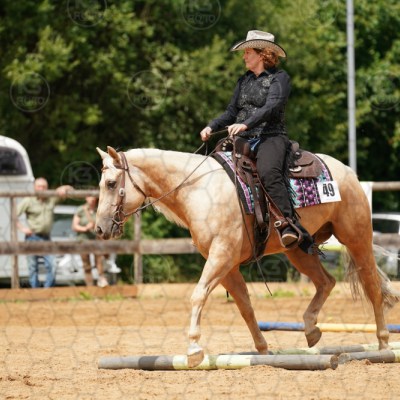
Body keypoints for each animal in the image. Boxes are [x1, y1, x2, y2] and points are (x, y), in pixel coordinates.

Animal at [95, 145, 400, 368]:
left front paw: (194, 348)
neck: (197, 191)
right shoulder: (227, 266)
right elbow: (245, 307)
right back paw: (311, 329)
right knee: (326, 282)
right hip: (298, 250)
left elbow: (198, 295)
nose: (100, 228)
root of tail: (347, 171)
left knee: (372, 287)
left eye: (110, 183)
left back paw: (383, 344)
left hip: (357, 238)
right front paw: (263, 352)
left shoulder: (221, 256)